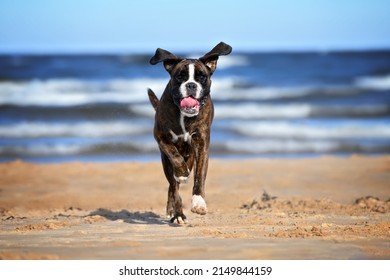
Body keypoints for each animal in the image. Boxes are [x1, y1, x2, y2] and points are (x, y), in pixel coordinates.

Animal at [146, 42, 232, 224]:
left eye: (202, 77)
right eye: (180, 77)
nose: (191, 85)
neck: (184, 116)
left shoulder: (201, 145)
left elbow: (199, 177)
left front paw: (199, 202)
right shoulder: (161, 137)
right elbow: (175, 157)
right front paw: (182, 174)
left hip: (191, 157)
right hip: (165, 162)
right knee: (173, 187)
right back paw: (177, 213)